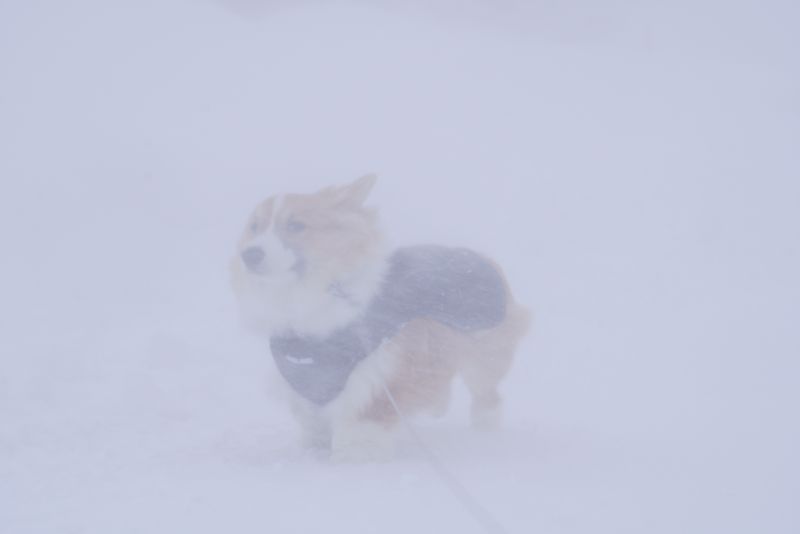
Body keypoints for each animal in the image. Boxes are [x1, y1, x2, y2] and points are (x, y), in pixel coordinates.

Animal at [230, 178, 532, 462]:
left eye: (296, 225)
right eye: (254, 227)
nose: (250, 254)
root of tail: (482, 257)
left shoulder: (381, 375)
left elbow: (364, 421)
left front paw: (354, 456)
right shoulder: (307, 382)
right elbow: (314, 420)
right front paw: (314, 450)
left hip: (484, 356)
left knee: (487, 394)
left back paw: (485, 430)